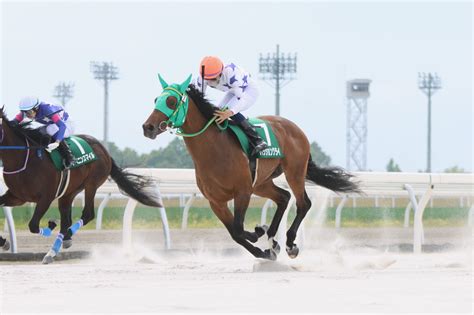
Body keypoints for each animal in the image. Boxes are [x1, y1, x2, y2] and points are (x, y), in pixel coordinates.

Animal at [0, 107, 161, 262]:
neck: (25, 159)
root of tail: (104, 150)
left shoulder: (46, 197)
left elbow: (33, 225)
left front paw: (51, 224)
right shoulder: (17, 196)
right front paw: (4, 242)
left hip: (92, 184)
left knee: (87, 214)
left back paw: (62, 239)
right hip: (69, 191)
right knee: (66, 220)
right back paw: (56, 248)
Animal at [143, 74, 360, 262]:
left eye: (171, 101)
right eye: (156, 99)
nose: (148, 127)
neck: (214, 149)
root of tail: (295, 128)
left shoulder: (243, 191)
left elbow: (239, 228)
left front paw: (258, 232)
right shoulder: (216, 202)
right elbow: (234, 234)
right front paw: (264, 248)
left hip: (294, 172)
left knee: (303, 203)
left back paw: (289, 243)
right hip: (261, 182)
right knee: (284, 197)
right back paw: (272, 239)